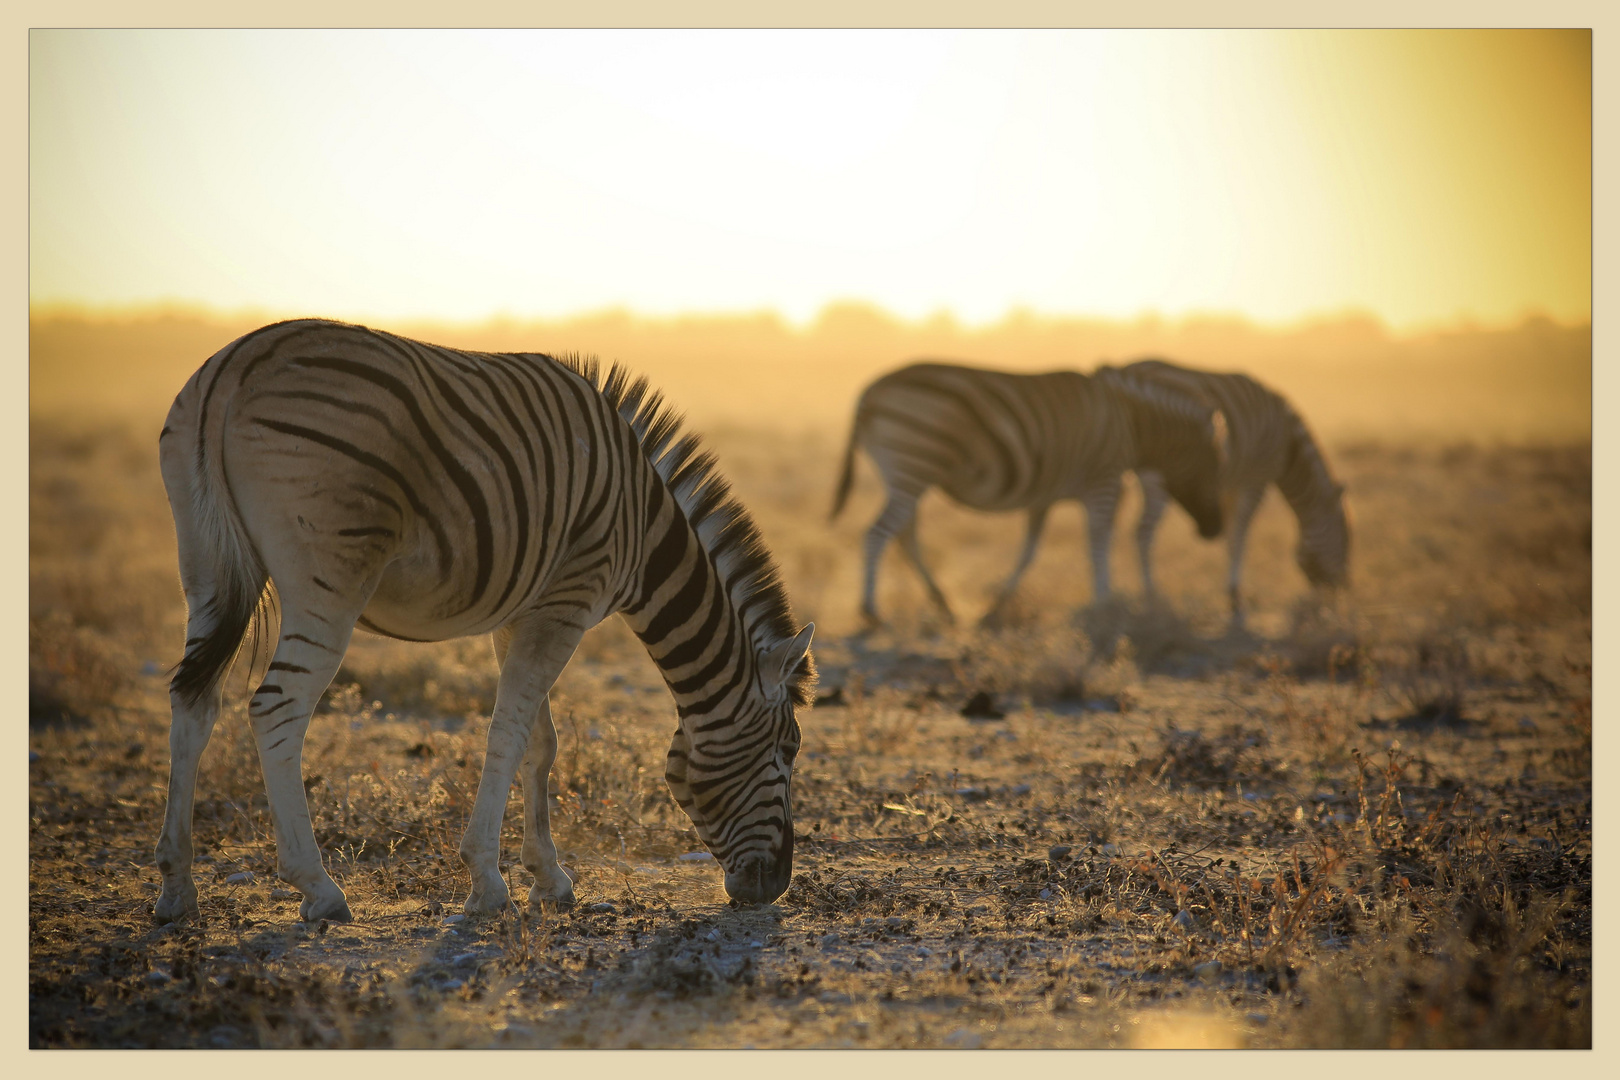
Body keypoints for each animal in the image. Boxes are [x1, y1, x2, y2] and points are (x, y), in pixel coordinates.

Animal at [153, 317, 816, 926]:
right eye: (788, 749)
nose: (776, 887)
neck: (644, 529)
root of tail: (234, 367)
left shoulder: (524, 611)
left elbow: (541, 741)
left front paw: (549, 877)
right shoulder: (568, 600)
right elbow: (509, 733)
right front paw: (488, 884)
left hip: (205, 566)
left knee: (193, 700)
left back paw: (176, 887)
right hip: (330, 576)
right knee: (275, 709)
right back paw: (318, 888)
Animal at [829, 362, 1218, 628]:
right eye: (1215, 463)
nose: (1212, 530)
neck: (1132, 421)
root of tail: (870, 391)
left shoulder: (1043, 497)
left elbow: (1029, 552)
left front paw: (995, 607)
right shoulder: (1104, 480)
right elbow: (1098, 542)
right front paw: (1104, 605)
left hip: (906, 475)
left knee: (905, 537)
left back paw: (943, 605)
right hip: (914, 466)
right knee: (878, 533)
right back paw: (872, 612)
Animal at [1121, 359, 1347, 625]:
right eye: (1345, 541)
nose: (1341, 591)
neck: (1288, 448)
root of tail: (1130, 369)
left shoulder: (1229, 486)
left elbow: (1230, 536)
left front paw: (1233, 594)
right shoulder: (1255, 479)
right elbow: (1240, 534)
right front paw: (1236, 598)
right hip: (1158, 473)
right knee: (1143, 532)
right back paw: (1151, 599)